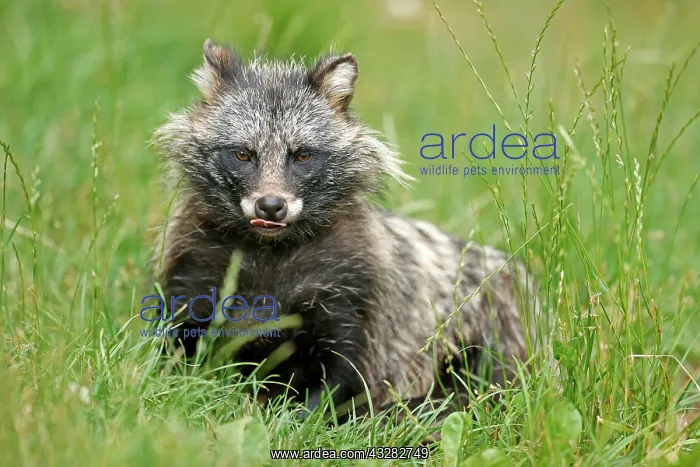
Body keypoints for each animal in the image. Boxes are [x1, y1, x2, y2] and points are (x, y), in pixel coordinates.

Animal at [152, 39, 540, 415]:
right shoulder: (193, 269)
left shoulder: (355, 294)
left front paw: (295, 416)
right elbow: (173, 357)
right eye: (243, 154)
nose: (271, 206)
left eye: (302, 155)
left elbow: (344, 378)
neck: (270, 255)